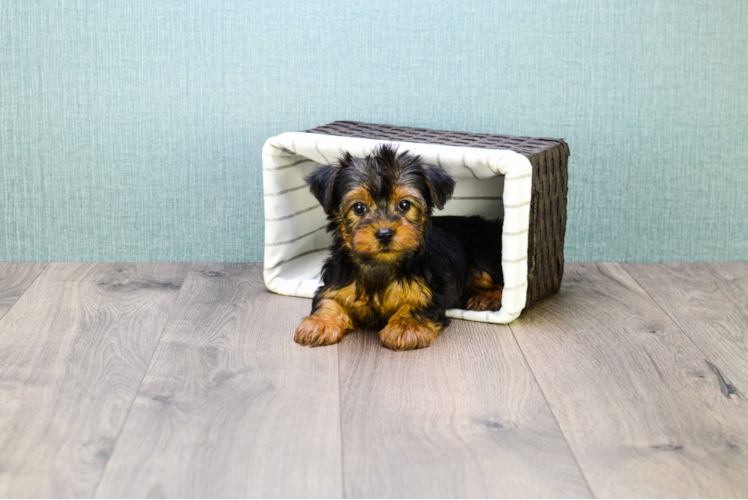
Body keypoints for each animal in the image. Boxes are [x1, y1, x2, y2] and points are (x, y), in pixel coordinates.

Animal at [295, 144, 504, 351]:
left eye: (404, 205)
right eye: (359, 207)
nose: (385, 233)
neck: (380, 266)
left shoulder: (433, 289)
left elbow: (418, 304)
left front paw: (405, 327)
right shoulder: (337, 283)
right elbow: (328, 300)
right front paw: (319, 324)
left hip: (481, 255)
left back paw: (486, 297)